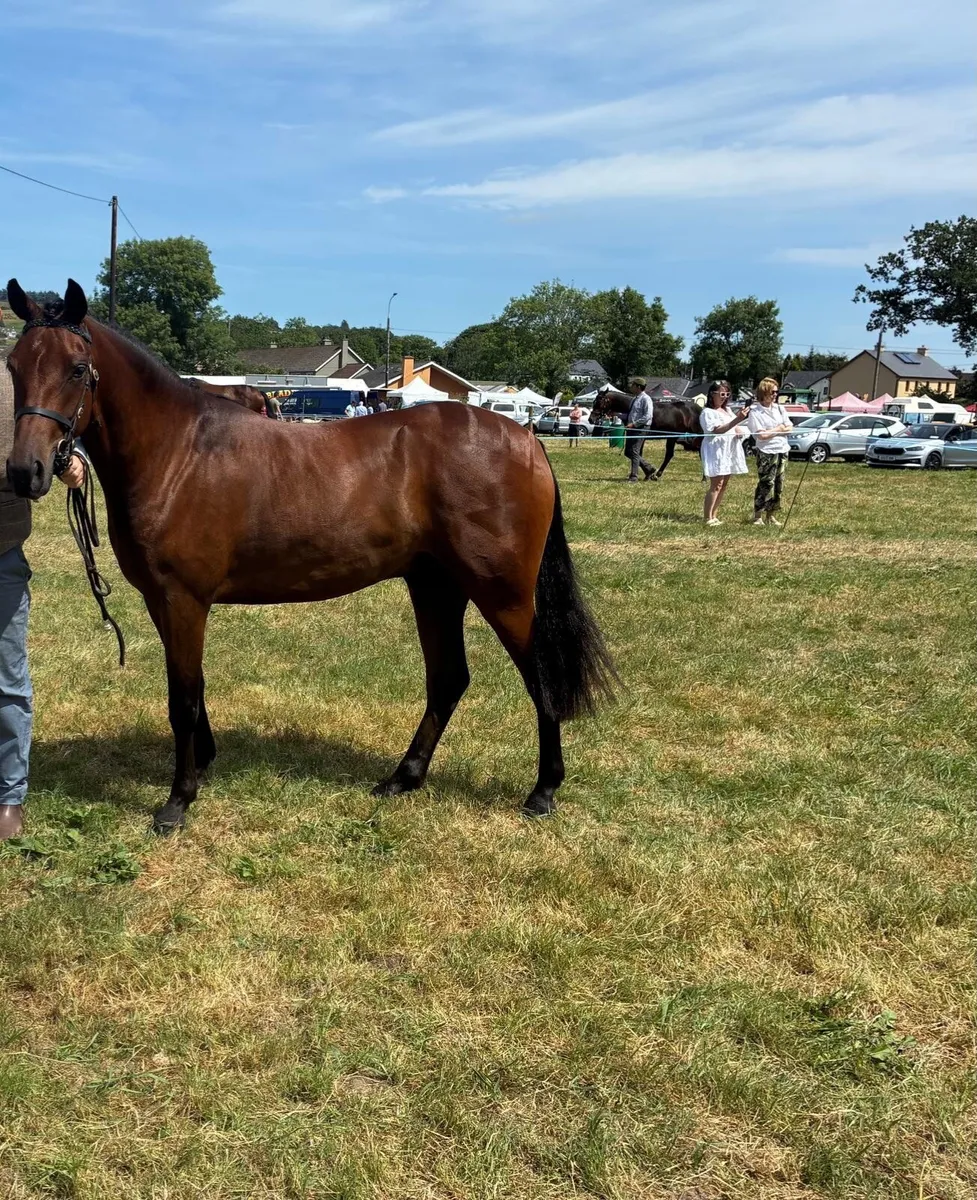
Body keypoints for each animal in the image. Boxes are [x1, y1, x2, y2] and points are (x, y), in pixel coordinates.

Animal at [5, 280, 615, 833]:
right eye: (14, 365)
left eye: (77, 369)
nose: (24, 471)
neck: (178, 452)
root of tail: (526, 438)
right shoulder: (165, 602)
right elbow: (192, 687)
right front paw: (204, 765)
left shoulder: (184, 600)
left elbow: (183, 699)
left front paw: (178, 802)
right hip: (436, 586)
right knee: (448, 679)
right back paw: (403, 778)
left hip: (502, 593)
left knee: (538, 675)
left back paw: (542, 791)